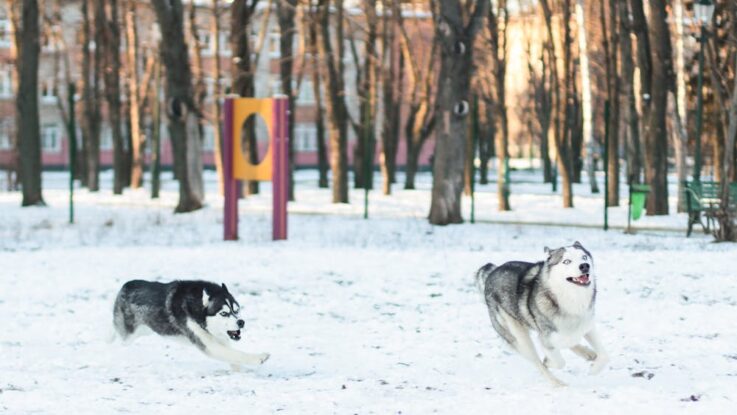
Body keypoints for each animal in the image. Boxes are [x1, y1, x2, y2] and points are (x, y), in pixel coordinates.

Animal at [112, 282, 268, 368]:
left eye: (236, 310)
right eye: (224, 313)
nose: (241, 322)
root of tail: (125, 285)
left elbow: (232, 355)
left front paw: (237, 370)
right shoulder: (206, 343)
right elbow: (232, 353)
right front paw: (259, 358)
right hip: (129, 334)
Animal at [478, 242, 608, 388]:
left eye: (584, 257)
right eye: (566, 261)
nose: (585, 266)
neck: (571, 299)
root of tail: (492, 271)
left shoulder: (587, 325)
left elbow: (605, 355)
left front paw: (594, 368)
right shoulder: (547, 336)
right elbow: (558, 361)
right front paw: (548, 361)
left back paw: (587, 353)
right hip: (518, 336)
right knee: (538, 364)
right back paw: (557, 383)